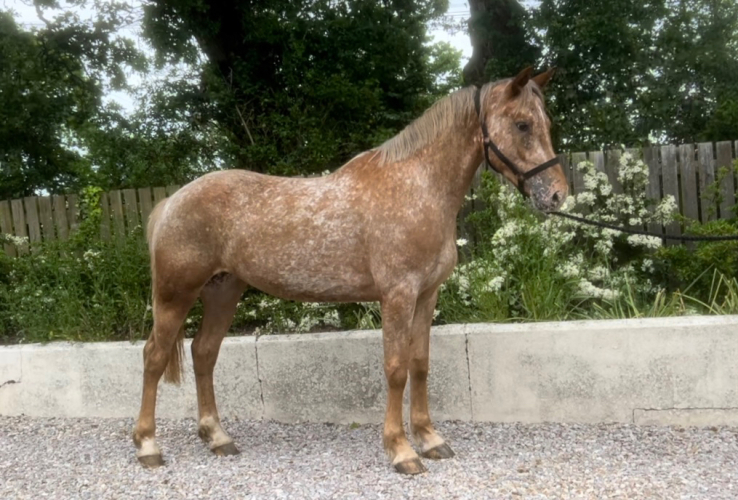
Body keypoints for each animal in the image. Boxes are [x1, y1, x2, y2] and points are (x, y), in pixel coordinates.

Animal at [132, 67, 568, 475]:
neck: (418, 186)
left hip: (224, 290)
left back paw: (217, 437)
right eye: (522, 124)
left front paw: (430, 439)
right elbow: (396, 369)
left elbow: (420, 364)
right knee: (154, 356)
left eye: (544, 123)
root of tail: (171, 202)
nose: (556, 194)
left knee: (204, 353)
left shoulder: (427, 295)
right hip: (175, 294)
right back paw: (147, 445)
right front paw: (402, 451)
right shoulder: (398, 295)